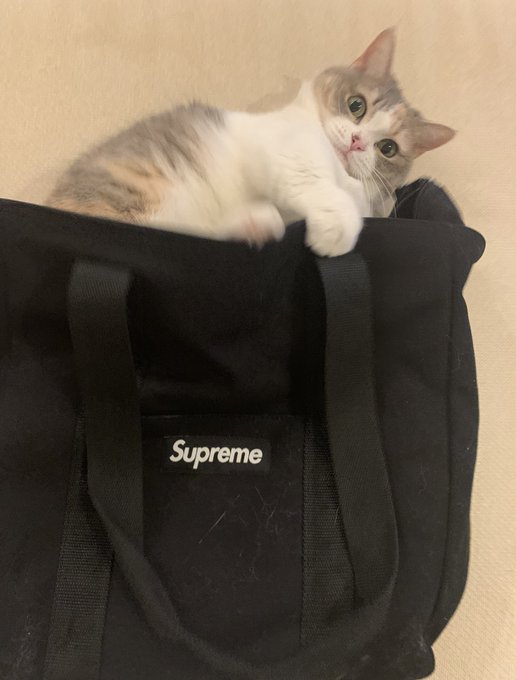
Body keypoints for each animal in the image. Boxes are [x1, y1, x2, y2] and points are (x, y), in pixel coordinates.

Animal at [47, 28, 454, 257]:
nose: (356, 142)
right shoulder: (285, 148)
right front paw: (337, 227)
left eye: (388, 148)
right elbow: (315, 181)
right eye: (357, 105)